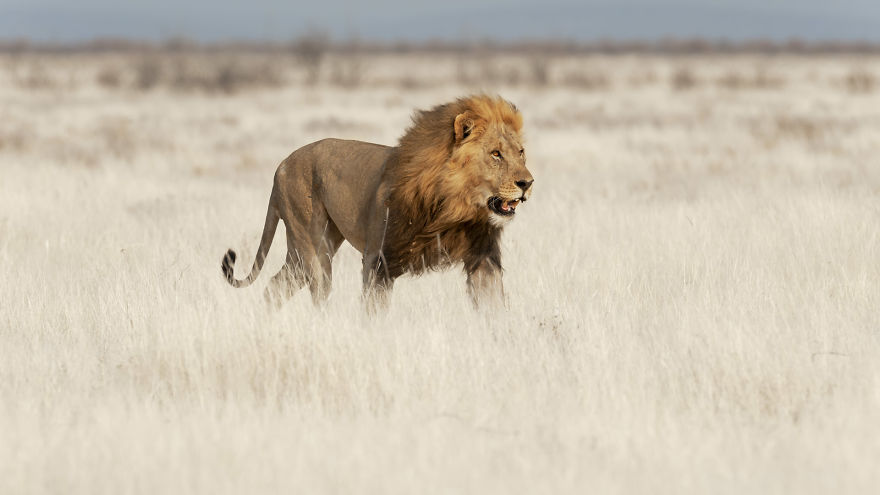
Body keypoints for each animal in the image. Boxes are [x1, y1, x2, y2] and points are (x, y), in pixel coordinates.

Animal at [220, 94, 534, 309]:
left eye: (520, 152)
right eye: (495, 154)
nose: (527, 183)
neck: (453, 207)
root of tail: (281, 166)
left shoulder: (483, 259)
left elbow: (494, 307)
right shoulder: (379, 259)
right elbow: (374, 312)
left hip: (305, 249)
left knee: (275, 287)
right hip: (313, 247)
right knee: (317, 294)